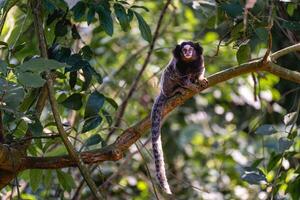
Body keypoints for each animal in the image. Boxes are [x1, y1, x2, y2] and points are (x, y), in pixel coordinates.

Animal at [151, 41, 207, 194]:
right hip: (166, 87)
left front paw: (200, 80)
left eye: (190, 50)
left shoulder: (199, 63)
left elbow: (200, 72)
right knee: (169, 74)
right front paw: (188, 86)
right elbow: (179, 77)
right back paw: (178, 90)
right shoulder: (177, 67)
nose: (187, 53)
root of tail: (162, 92)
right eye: (183, 50)